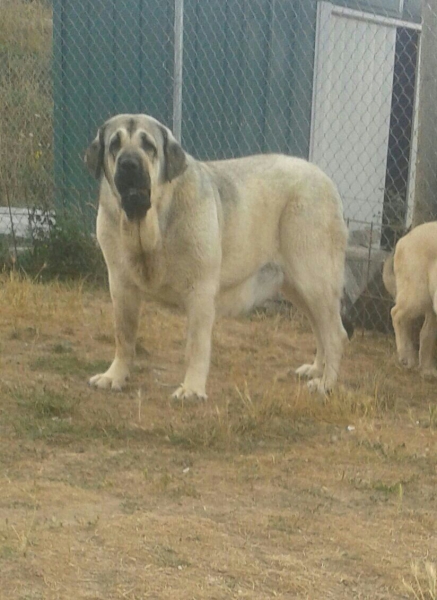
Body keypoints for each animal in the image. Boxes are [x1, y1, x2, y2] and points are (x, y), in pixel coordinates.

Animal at [85, 113, 350, 398]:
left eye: (149, 146)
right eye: (114, 144)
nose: (129, 164)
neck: (153, 222)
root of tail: (324, 178)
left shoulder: (200, 292)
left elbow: (196, 345)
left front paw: (191, 389)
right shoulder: (121, 286)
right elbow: (124, 335)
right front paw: (115, 376)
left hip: (313, 280)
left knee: (334, 333)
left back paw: (326, 383)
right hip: (298, 287)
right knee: (320, 328)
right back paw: (316, 370)